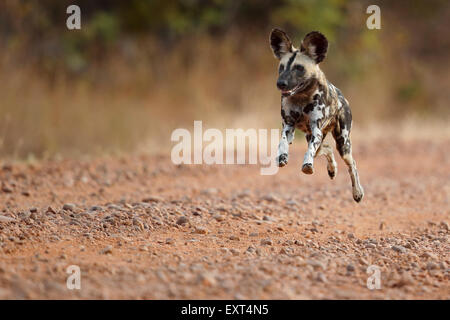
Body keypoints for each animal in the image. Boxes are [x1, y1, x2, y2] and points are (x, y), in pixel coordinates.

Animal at [268, 28, 364, 202]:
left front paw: (307, 165)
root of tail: (342, 96)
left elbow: (309, 152)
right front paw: (282, 157)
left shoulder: (316, 130)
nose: (280, 83)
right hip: (312, 136)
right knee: (327, 148)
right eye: (282, 67)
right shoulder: (288, 125)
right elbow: (283, 142)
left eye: (299, 68)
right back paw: (332, 169)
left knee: (351, 164)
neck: (301, 98)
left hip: (343, 144)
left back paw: (357, 192)